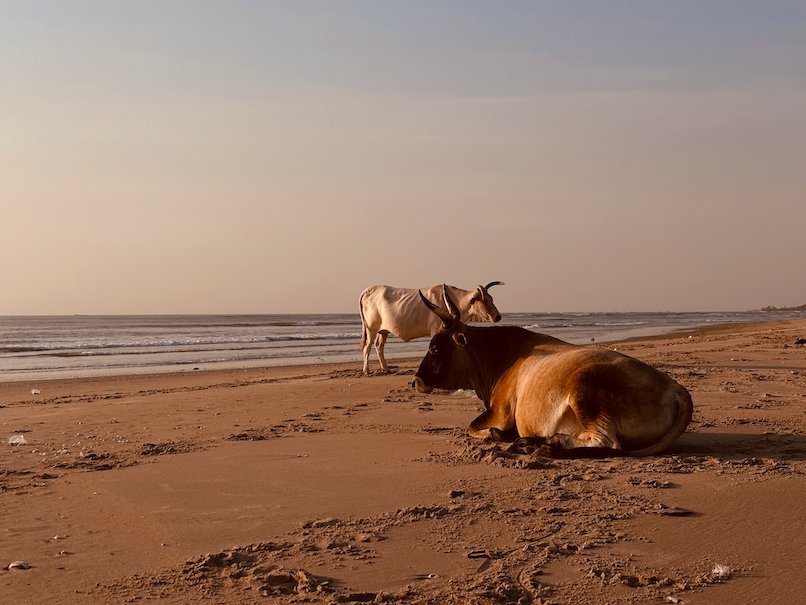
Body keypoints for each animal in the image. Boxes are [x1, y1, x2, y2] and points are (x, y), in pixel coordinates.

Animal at [359, 282, 504, 375]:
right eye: (484, 300)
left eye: (491, 298)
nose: (498, 316)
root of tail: (369, 290)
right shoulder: (436, 329)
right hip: (371, 328)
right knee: (367, 346)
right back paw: (366, 370)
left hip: (383, 331)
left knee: (379, 345)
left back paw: (386, 369)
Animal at [412, 286, 693, 456]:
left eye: (434, 347)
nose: (415, 381)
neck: (501, 356)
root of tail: (676, 389)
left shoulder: (499, 412)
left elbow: (474, 428)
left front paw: (497, 435)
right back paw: (531, 442)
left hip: (585, 386)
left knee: (606, 442)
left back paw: (548, 443)